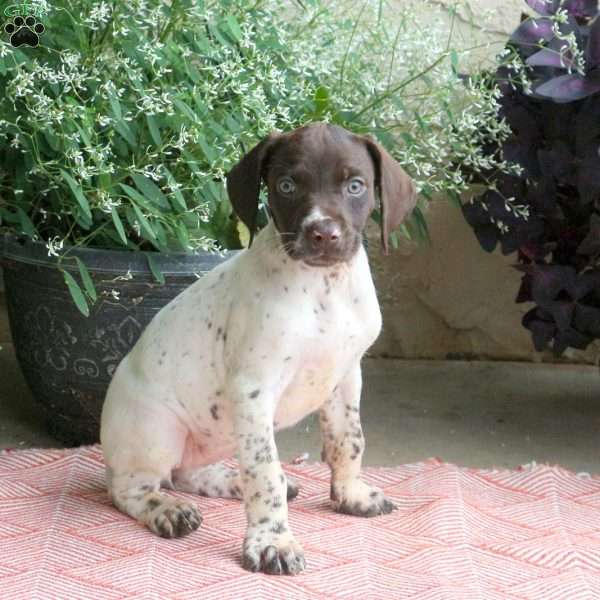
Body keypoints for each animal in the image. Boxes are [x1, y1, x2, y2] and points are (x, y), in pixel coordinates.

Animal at [99, 119, 418, 576]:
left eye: (355, 186)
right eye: (286, 185)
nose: (323, 233)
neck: (323, 288)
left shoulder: (345, 376)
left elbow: (349, 440)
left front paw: (350, 493)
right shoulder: (254, 389)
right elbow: (265, 472)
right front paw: (273, 543)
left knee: (185, 473)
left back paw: (229, 481)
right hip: (157, 432)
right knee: (130, 488)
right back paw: (167, 509)